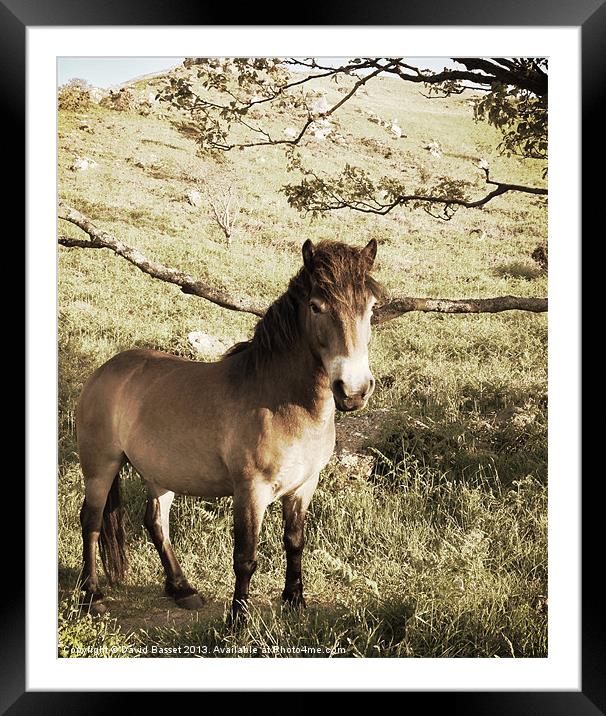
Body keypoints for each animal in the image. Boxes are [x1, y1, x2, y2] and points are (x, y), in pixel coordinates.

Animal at [75, 239, 380, 620]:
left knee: (156, 523)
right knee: (91, 521)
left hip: (161, 475)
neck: (282, 401)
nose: (353, 391)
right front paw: (238, 619)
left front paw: (295, 601)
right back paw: (92, 596)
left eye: (371, 307)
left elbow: (295, 543)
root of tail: (104, 370)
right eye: (316, 306)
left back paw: (182, 589)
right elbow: (245, 558)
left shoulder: (303, 487)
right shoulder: (250, 491)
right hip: (100, 467)